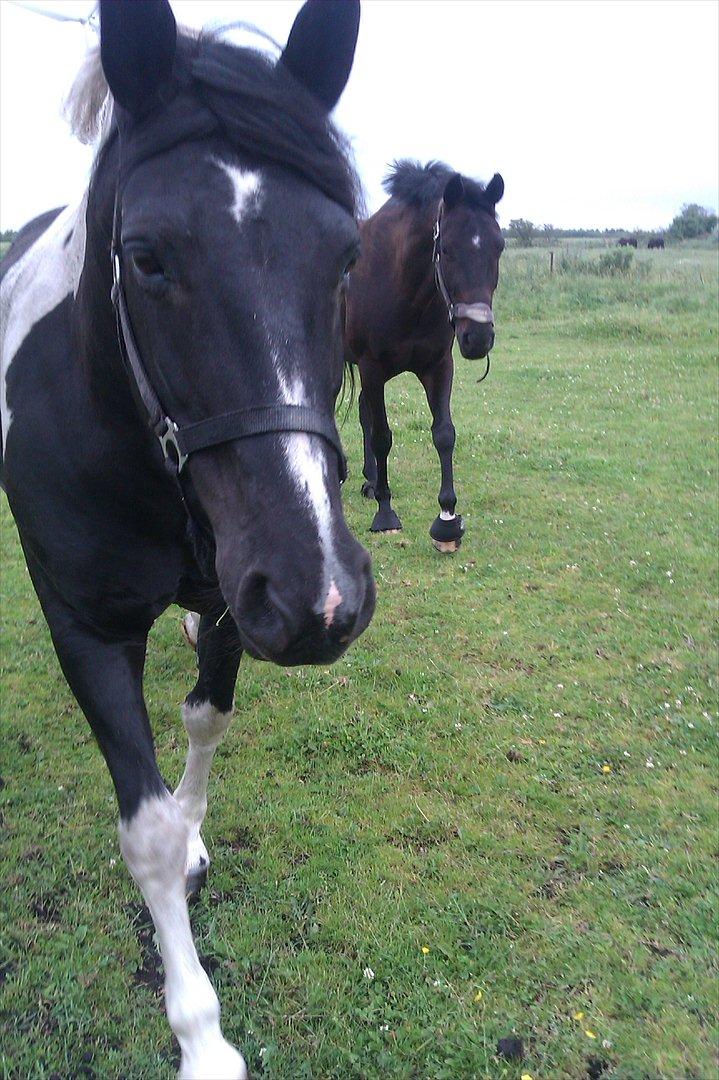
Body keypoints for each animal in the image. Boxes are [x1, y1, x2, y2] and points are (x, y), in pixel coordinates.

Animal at [2, 4, 375, 1075]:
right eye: (147, 255)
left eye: (347, 256)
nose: (322, 594)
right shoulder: (87, 631)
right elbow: (149, 833)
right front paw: (201, 1035)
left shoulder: (229, 601)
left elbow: (205, 725)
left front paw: (201, 830)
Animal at [343, 162, 500, 548]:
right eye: (447, 247)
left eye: (499, 247)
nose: (478, 338)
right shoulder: (372, 369)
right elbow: (383, 437)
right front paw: (386, 514)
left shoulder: (438, 366)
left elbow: (444, 433)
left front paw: (447, 521)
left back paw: (370, 480)